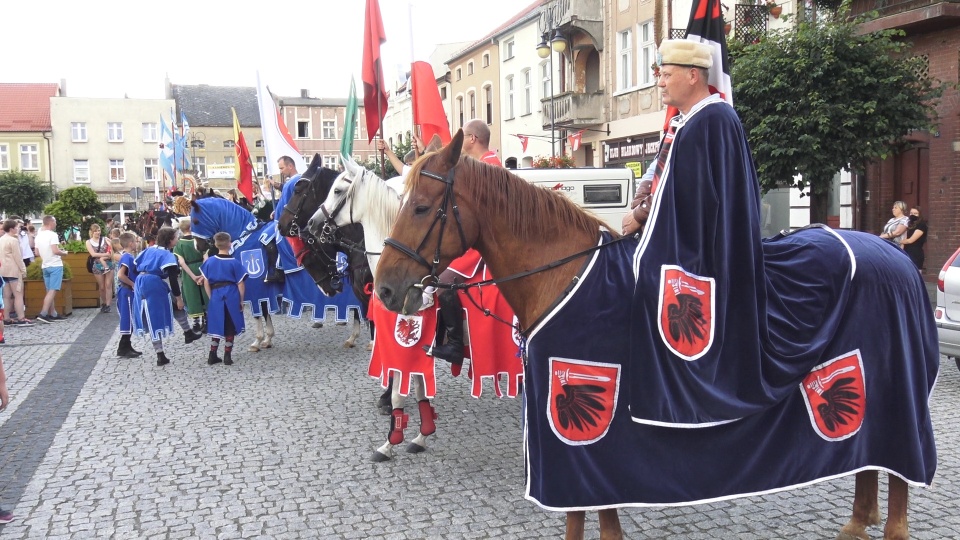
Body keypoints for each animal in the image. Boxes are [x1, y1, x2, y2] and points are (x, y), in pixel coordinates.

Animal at [376, 131, 936, 540]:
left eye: (421, 206)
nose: (384, 287)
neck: (566, 275)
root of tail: (897, 258)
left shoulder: (579, 432)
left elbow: (586, 511)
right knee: (867, 463)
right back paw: (856, 523)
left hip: (894, 395)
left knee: (898, 470)